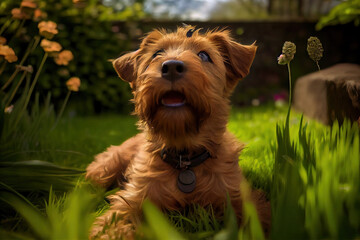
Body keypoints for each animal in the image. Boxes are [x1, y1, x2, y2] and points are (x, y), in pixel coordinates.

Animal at [86, 25, 268, 239]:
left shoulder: (240, 198)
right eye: (156, 54)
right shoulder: (133, 200)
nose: (171, 66)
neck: (185, 159)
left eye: (204, 55)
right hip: (105, 169)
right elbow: (112, 226)